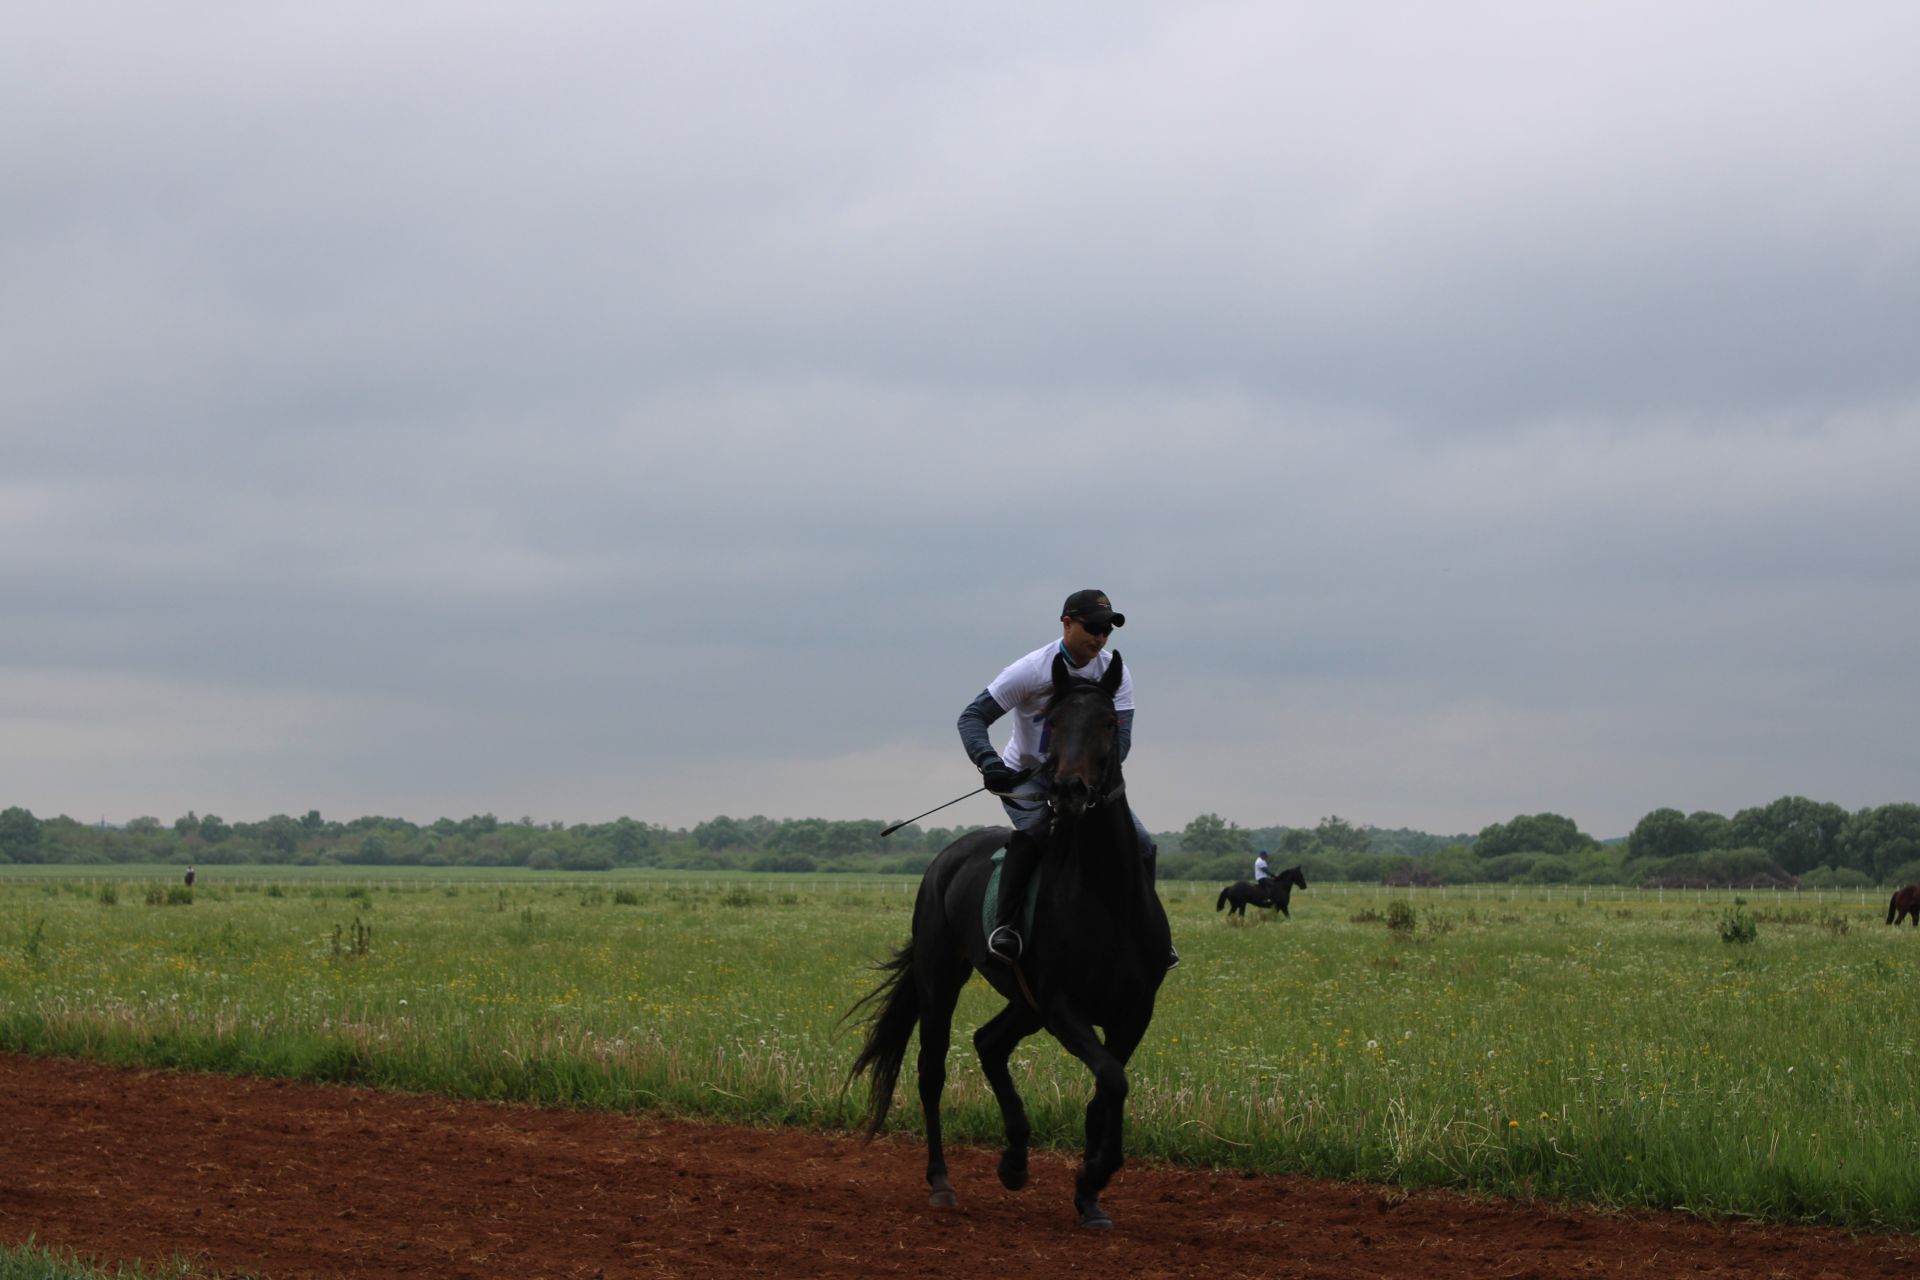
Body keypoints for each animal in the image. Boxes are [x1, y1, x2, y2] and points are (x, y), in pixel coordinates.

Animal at [852, 652, 1175, 1228]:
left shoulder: (1132, 1012)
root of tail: (947, 857)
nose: (1067, 791)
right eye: (1054, 721)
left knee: (989, 1043)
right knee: (932, 1070)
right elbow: (1112, 1080)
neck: (1107, 897)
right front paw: (1093, 1175)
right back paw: (942, 1181)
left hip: (1025, 1005)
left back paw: (1016, 1159)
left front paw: (1089, 1194)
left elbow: (1106, 1089)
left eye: (1108, 722)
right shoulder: (1064, 1006)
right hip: (942, 977)